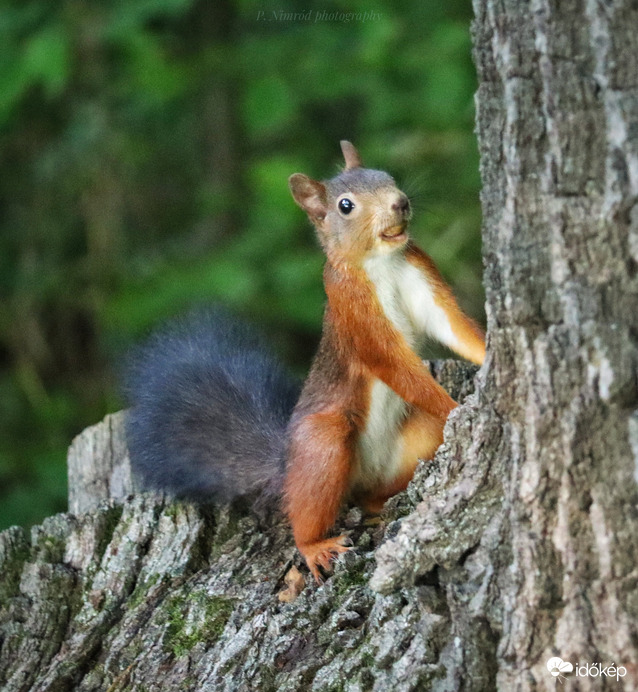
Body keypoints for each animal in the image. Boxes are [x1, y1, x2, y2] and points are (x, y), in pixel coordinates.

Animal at [124, 142, 484, 584]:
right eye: (346, 206)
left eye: (388, 177)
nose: (400, 203)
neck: (381, 263)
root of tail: (286, 464)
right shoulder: (353, 310)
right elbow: (393, 363)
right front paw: (454, 407)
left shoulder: (419, 273)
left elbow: (453, 327)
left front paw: (487, 356)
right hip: (322, 443)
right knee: (307, 512)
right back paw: (315, 546)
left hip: (416, 437)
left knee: (371, 495)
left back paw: (382, 502)